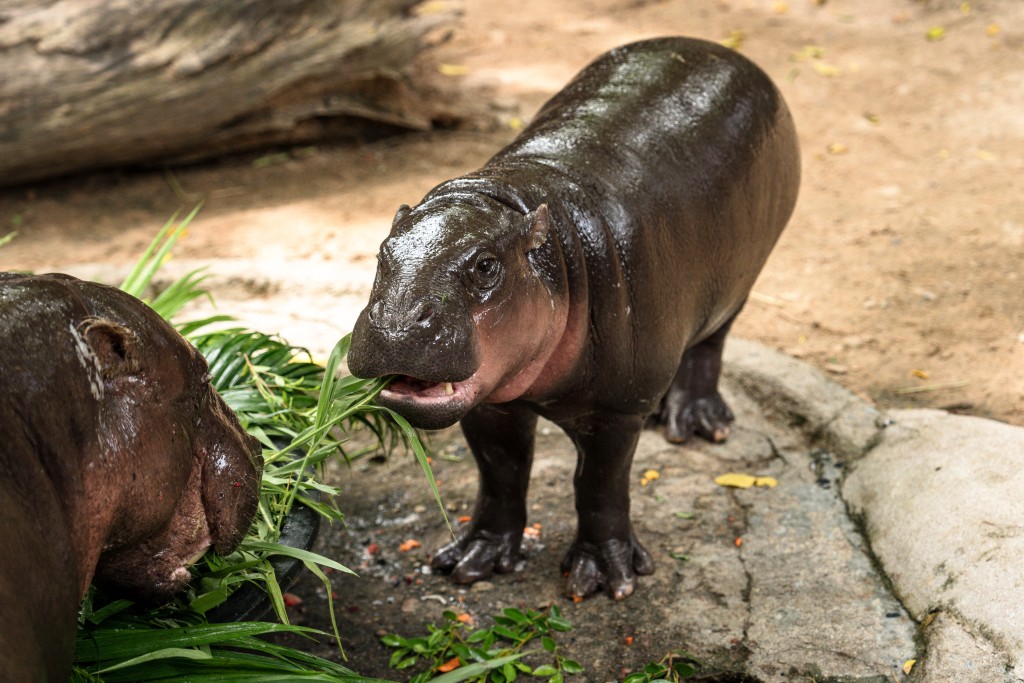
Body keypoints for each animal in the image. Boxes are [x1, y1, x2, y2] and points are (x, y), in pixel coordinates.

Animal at [348, 37, 800, 600]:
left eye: (486, 265)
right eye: (382, 251)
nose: (397, 322)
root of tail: (721, 48)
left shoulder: (616, 411)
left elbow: (599, 486)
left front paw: (605, 579)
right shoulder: (489, 403)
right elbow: (501, 473)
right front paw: (474, 559)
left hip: (739, 284)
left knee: (709, 345)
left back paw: (694, 423)